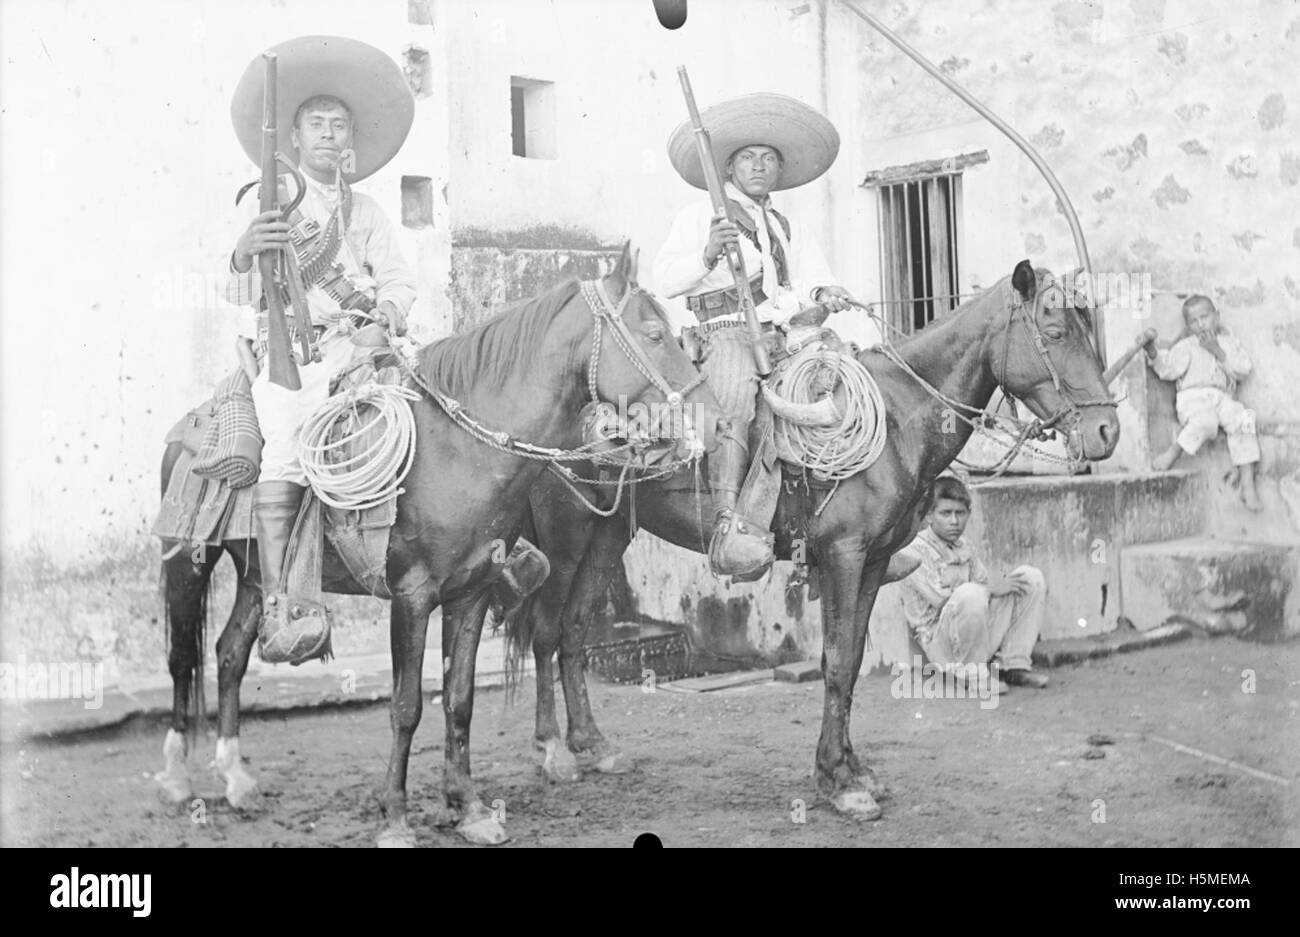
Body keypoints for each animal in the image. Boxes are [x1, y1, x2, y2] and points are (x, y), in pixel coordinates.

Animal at [153, 244, 728, 842]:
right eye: (654, 334)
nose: (714, 420)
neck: (455, 451)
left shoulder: (470, 592)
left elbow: (459, 699)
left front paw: (468, 806)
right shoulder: (411, 598)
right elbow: (406, 705)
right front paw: (395, 816)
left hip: (255, 576)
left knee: (230, 655)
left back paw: (236, 778)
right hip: (186, 562)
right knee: (182, 658)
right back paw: (177, 777)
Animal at [504, 259, 1118, 816]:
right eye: (1056, 334)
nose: (1107, 430)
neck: (898, 419)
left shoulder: (874, 560)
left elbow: (850, 659)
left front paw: (852, 770)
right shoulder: (844, 555)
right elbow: (837, 662)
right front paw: (838, 783)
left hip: (608, 532)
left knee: (575, 630)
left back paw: (594, 745)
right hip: (564, 534)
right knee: (546, 631)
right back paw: (554, 751)